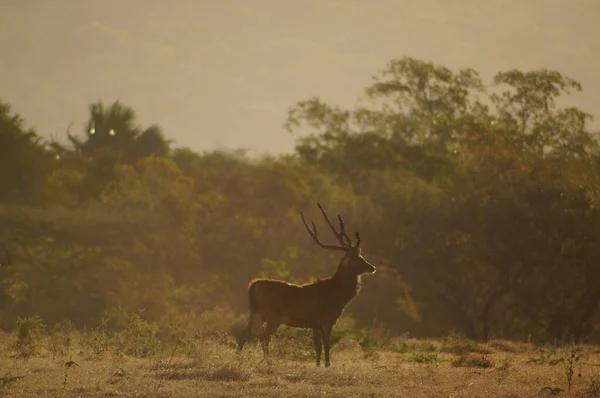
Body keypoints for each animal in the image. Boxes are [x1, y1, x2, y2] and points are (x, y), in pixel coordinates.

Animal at [238, 205, 376, 366]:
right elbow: (327, 345)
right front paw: (328, 365)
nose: (371, 267)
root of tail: (254, 285)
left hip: (256, 313)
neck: (338, 295)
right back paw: (269, 363)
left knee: (244, 335)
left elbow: (317, 347)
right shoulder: (327, 319)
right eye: (356, 259)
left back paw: (238, 359)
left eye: (361, 256)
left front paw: (318, 365)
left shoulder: (315, 324)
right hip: (273, 315)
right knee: (263, 338)